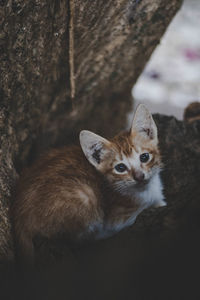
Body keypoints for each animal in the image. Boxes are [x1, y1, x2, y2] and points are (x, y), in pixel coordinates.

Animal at [12, 104, 166, 264]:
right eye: (120, 168)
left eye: (144, 157)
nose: (139, 176)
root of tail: (19, 218)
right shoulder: (117, 219)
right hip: (86, 195)